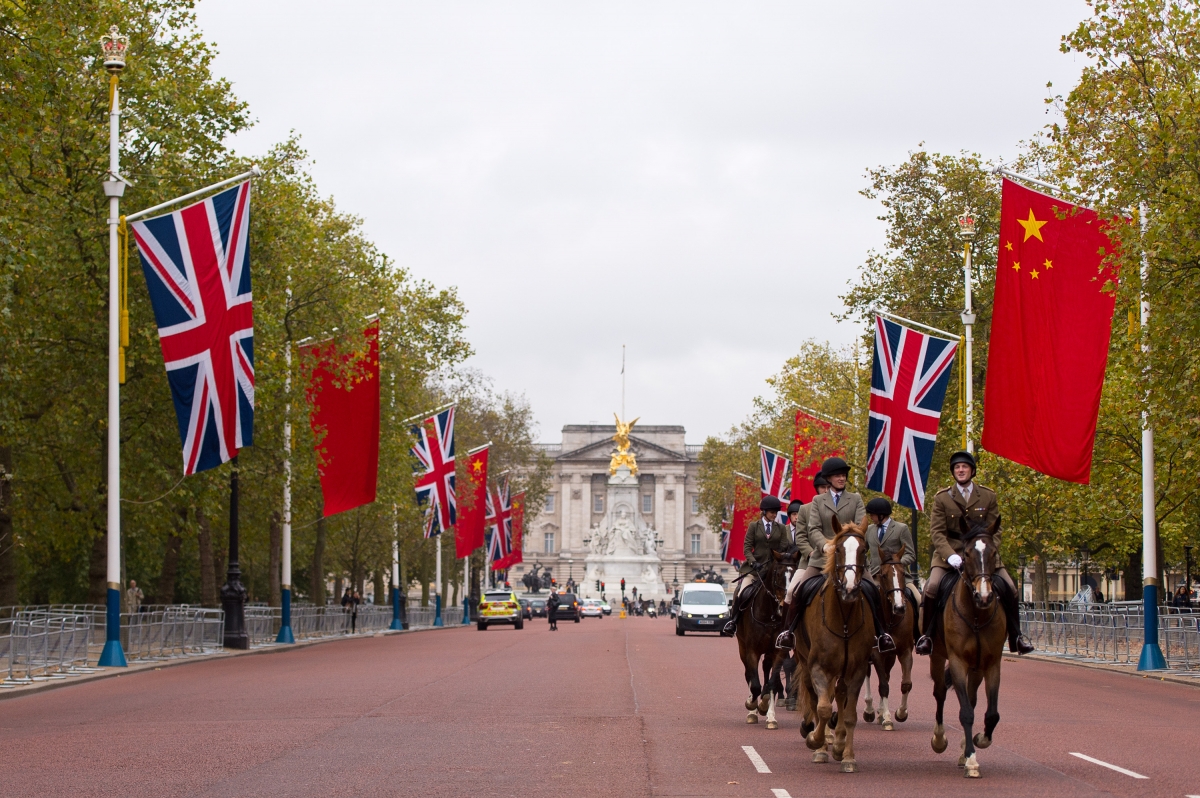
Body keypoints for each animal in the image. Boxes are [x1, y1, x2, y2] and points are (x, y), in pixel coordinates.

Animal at [734, 547, 801, 729]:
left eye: (795, 574)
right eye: (777, 573)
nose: (784, 606)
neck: (770, 616)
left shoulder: (779, 651)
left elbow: (770, 682)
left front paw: (766, 709)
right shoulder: (751, 651)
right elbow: (755, 684)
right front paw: (751, 705)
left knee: (766, 672)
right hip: (742, 648)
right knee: (749, 675)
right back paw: (752, 710)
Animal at [796, 516, 873, 772]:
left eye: (864, 549)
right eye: (838, 549)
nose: (849, 589)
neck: (845, 619)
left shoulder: (857, 670)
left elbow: (849, 715)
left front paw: (847, 755)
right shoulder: (819, 668)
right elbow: (822, 708)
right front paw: (816, 742)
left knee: (838, 695)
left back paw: (837, 743)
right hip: (805, 661)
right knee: (817, 699)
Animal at [859, 544, 912, 729]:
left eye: (903, 572)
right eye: (883, 575)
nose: (900, 607)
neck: (890, 619)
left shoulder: (904, 651)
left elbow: (905, 684)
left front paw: (900, 713)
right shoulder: (876, 652)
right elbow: (883, 685)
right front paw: (888, 718)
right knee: (867, 673)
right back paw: (869, 710)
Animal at [926, 516, 1012, 777]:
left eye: (994, 552)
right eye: (965, 553)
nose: (984, 597)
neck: (976, 615)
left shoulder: (992, 663)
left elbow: (991, 713)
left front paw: (979, 741)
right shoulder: (957, 662)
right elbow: (965, 712)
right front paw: (972, 759)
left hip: (976, 668)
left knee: (972, 700)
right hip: (938, 657)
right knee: (940, 693)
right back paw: (939, 740)